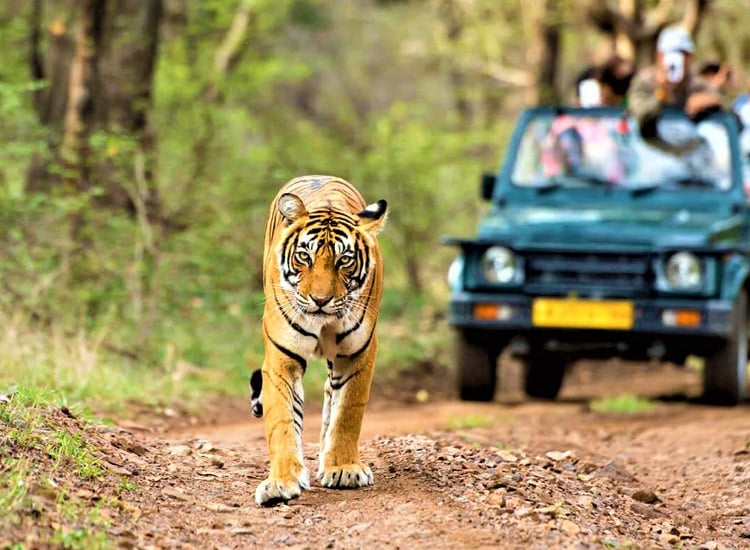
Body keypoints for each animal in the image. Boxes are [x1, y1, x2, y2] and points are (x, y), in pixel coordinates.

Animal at [252, 175, 387, 507]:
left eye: (344, 260)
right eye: (305, 256)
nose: (320, 300)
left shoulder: (358, 353)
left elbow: (348, 412)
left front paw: (343, 468)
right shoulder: (281, 358)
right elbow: (282, 421)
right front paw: (281, 482)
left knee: (331, 396)